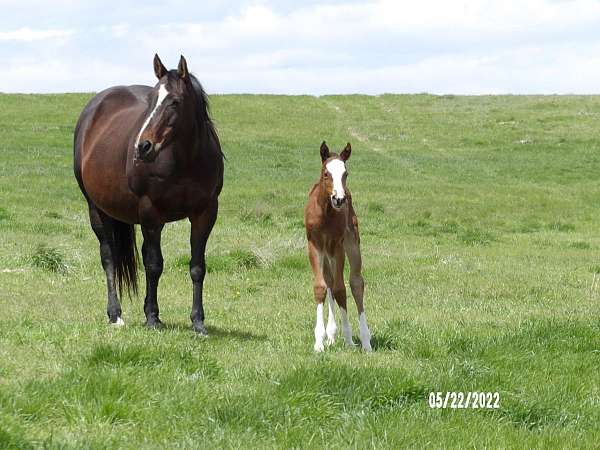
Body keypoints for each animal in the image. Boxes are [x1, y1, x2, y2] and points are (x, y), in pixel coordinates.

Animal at [304, 142, 370, 352]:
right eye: (326, 173)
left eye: (345, 173)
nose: (339, 199)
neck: (325, 213)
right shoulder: (314, 245)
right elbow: (321, 286)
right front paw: (319, 341)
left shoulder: (338, 245)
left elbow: (341, 289)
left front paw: (348, 338)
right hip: (326, 253)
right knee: (329, 281)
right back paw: (331, 335)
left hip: (351, 242)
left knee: (356, 283)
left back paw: (365, 340)